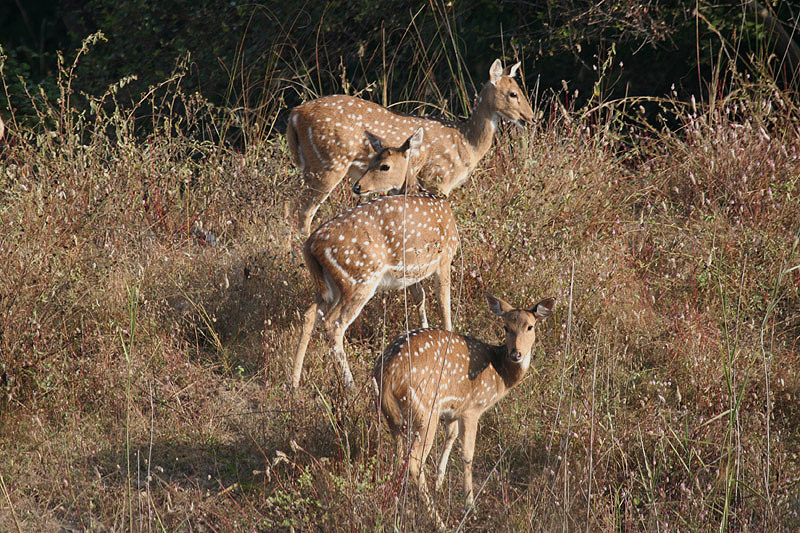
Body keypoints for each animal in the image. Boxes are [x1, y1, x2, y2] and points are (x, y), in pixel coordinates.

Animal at [284, 57, 536, 234]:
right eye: (513, 94)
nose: (532, 118)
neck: (466, 143)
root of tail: (295, 115)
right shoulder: (436, 177)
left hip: (310, 165)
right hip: (328, 163)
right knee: (300, 210)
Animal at [292, 127, 456, 388]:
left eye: (383, 165)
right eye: (370, 162)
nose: (357, 187)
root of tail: (310, 246)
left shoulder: (412, 270)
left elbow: (419, 299)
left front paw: (424, 333)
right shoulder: (445, 256)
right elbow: (444, 302)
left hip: (328, 286)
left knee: (309, 315)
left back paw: (294, 380)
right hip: (359, 278)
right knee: (334, 324)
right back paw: (350, 384)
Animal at [372, 290, 552, 528]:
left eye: (530, 326)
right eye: (506, 326)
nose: (516, 354)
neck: (500, 375)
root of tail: (386, 373)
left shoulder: (452, 409)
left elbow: (451, 435)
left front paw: (439, 482)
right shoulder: (472, 408)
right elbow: (467, 454)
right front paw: (470, 504)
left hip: (393, 416)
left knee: (398, 454)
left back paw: (394, 504)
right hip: (425, 410)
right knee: (414, 461)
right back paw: (438, 521)